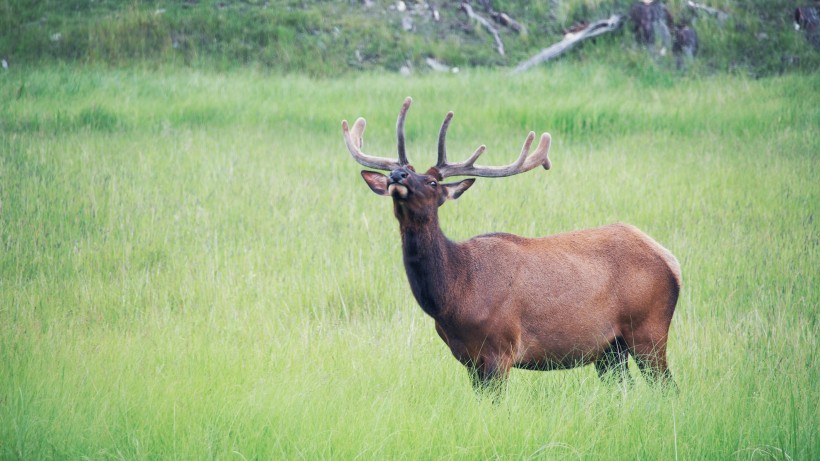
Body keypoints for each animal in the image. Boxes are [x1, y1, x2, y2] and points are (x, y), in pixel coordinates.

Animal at [340, 99, 680, 390]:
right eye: (399, 171)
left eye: (433, 182)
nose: (396, 175)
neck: (454, 294)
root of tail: (670, 261)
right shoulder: (468, 359)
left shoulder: (499, 349)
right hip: (609, 349)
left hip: (648, 329)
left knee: (668, 388)